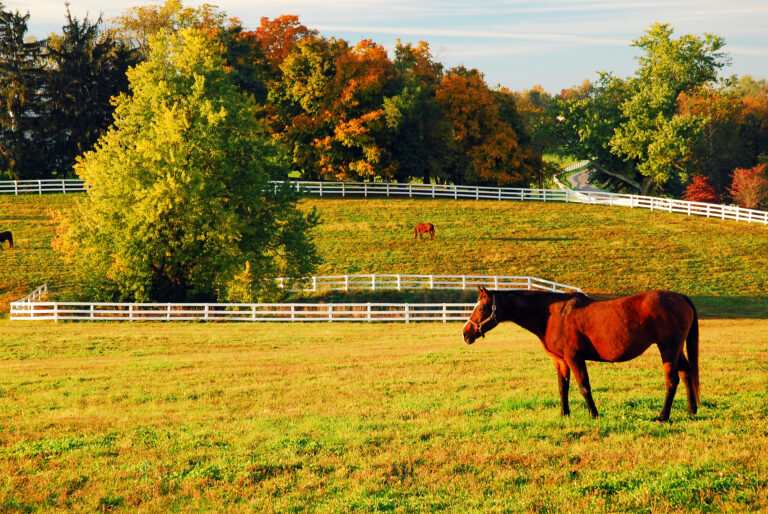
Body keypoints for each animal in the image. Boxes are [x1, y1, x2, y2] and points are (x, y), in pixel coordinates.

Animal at [462, 286, 704, 418]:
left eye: (481, 307)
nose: (465, 334)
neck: (553, 314)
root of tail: (681, 297)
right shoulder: (561, 361)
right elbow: (563, 387)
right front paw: (564, 413)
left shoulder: (574, 358)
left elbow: (583, 386)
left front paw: (593, 414)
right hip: (675, 350)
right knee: (686, 374)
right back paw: (691, 410)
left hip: (668, 349)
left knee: (672, 380)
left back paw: (663, 416)